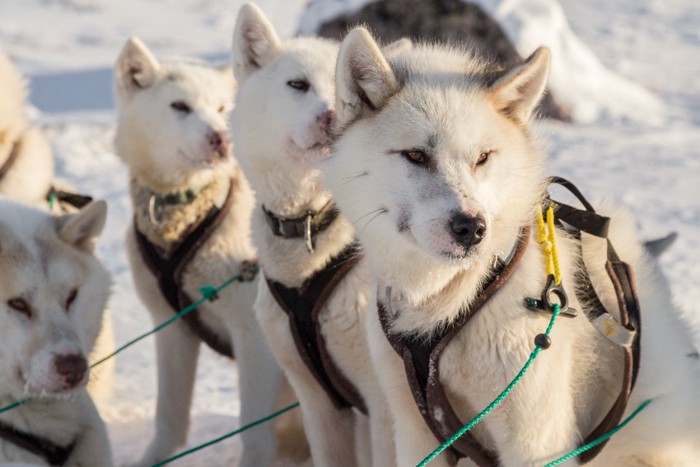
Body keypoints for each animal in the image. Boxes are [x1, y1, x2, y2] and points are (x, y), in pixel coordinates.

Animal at [113, 37, 302, 467]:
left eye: (220, 108)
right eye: (180, 106)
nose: (220, 139)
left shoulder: (254, 335)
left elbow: (254, 429)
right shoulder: (171, 326)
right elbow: (169, 417)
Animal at [322, 27, 700, 466]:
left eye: (483, 157)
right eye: (415, 155)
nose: (471, 227)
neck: (450, 300)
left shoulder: (534, 440)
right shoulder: (416, 433)